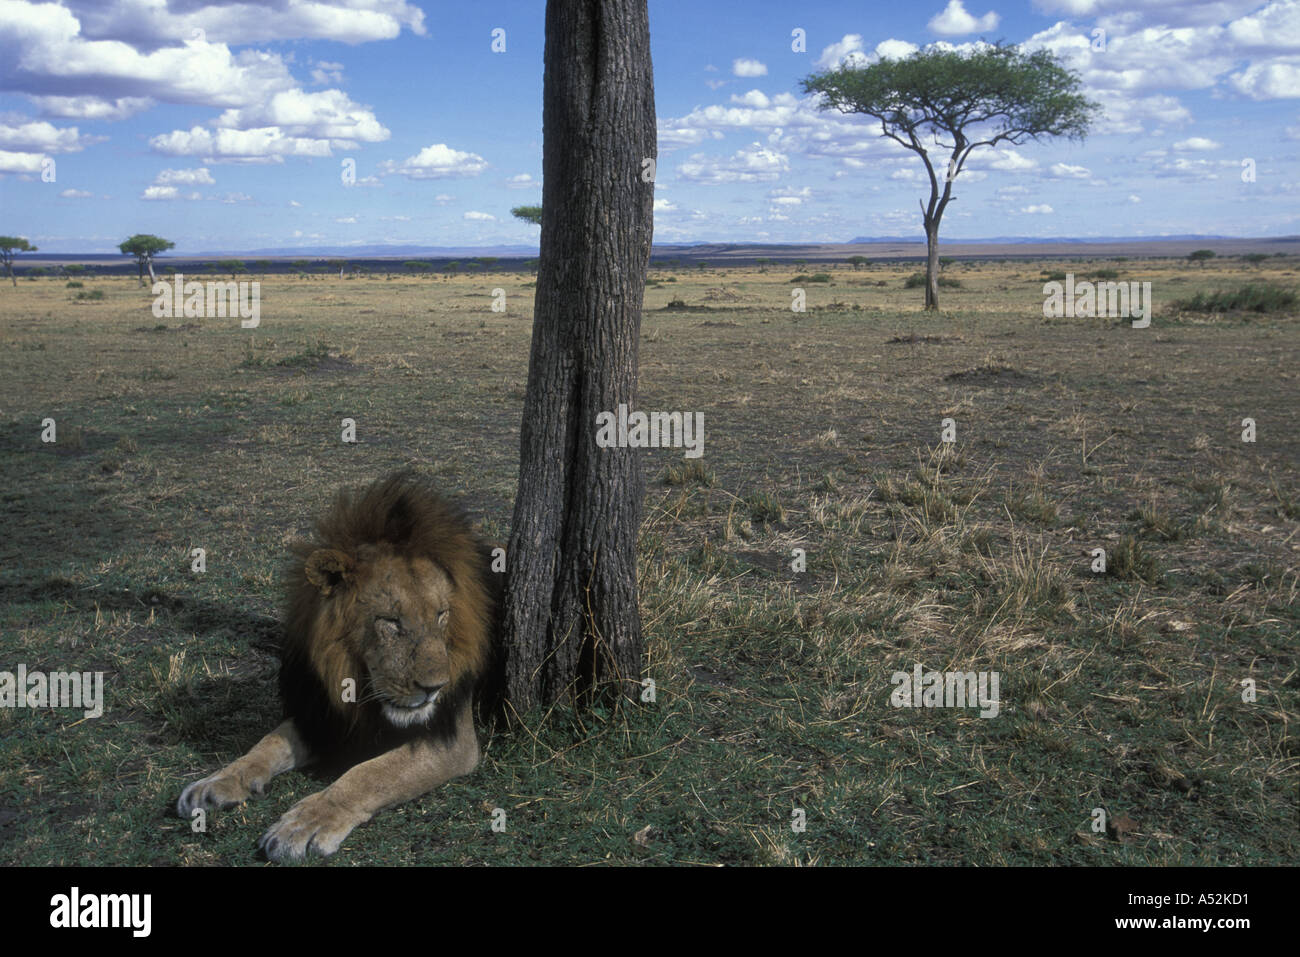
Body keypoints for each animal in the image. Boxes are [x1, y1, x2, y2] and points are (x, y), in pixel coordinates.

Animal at [176, 471, 502, 860]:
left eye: (442, 615)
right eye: (391, 621)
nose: (434, 688)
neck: (355, 679)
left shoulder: (454, 740)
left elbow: (371, 774)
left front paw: (307, 822)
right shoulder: (321, 716)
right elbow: (268, 744)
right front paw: (219, 781)